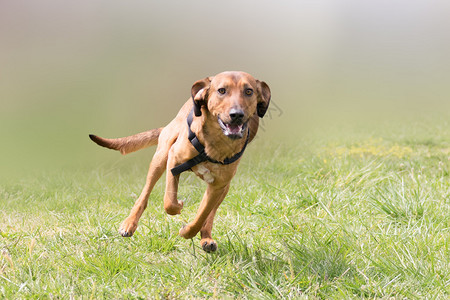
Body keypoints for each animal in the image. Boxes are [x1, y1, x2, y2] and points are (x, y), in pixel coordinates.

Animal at [89, 71, 268, 252]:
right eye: (222, 90)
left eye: (249, 91)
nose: (237, 114)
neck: (214, 144)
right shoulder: (173, 159)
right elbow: (169, 202)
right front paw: (179, 206)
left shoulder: (217, 186)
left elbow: (202, 215)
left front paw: (187, 232)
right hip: (160, 157)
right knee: (144, 196)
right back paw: (129, 224)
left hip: (224, 188)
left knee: (209, 215)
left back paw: (207, 239)